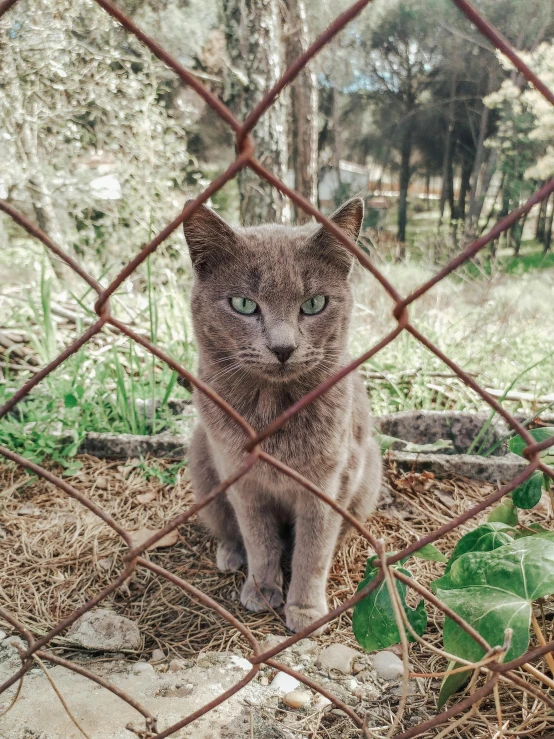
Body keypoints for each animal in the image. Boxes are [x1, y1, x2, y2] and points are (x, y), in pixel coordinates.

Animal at [183, 199, 382, 632]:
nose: (283, 347)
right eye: (243, 304)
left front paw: (305, 609)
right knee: (230, 530)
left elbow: (313, 550)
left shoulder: (327, 484)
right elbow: (259, 539)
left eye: (314, 304)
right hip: (202, 460)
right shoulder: (242, 479)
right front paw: (261, 590)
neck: (270, 411)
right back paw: (231, 555)